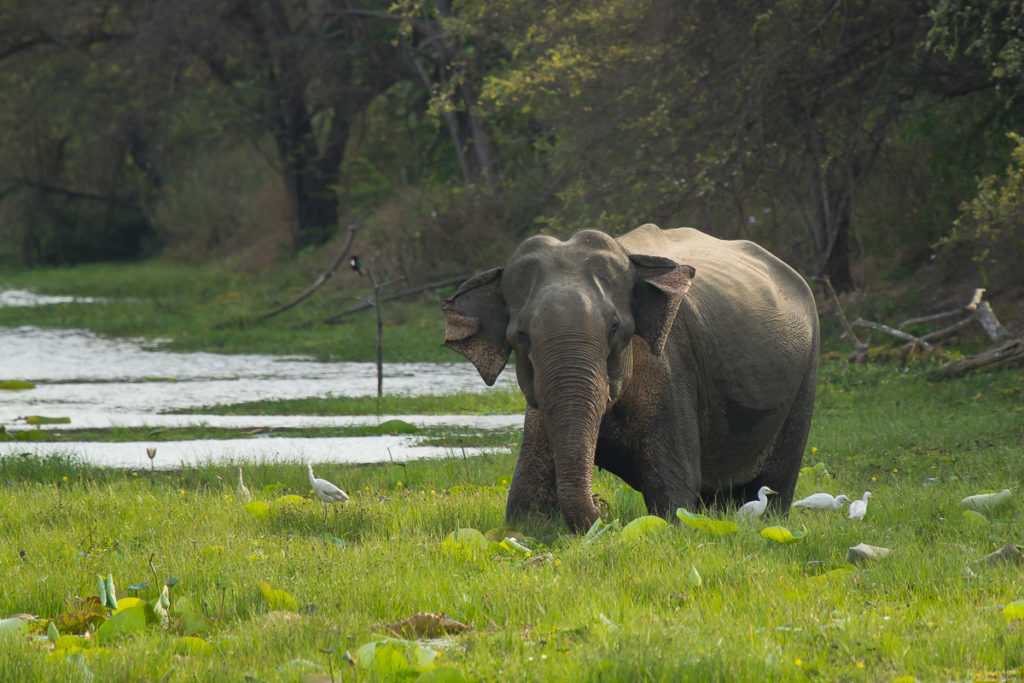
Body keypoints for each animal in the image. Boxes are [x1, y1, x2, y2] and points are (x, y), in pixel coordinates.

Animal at [440, 224, 815, 532]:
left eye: (615, 327)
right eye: (521, 335)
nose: (603, 510)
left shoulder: (671, 369)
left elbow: (674, 493)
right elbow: (524, 500)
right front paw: (530, 526)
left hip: (805, 379)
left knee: (777, 479)